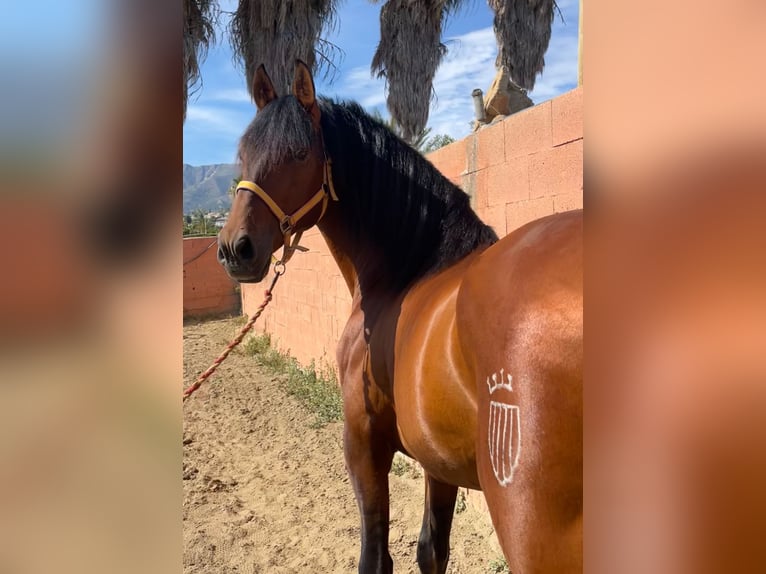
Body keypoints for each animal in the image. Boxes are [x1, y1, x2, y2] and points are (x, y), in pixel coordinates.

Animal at [218, 60, 582, 574]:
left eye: (300, 152)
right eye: (244, 152)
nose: (236, 249)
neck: (407, 273)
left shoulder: (363, 442)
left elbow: (375, 557)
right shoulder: (437, 460)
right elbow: (432, 549)